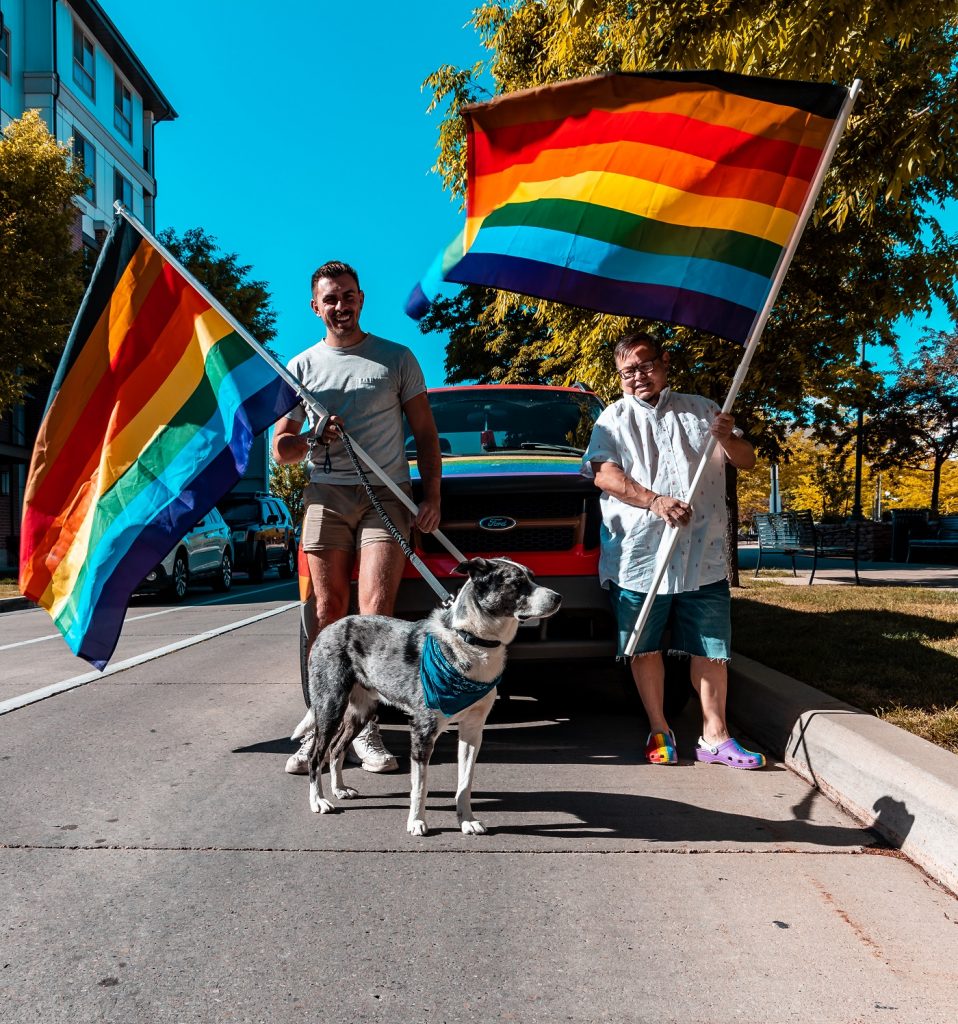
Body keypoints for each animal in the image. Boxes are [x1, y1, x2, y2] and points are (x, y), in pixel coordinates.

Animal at [292, 557, 560, 835]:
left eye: (533, 578)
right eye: (516, 583)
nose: (557, 598)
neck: (472, 641)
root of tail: (329, 628)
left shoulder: (472, 731)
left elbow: (465, 782)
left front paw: (466, 820)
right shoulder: (422, 732)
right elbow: (420, 787)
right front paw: (417, 821)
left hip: (362, 711)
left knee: (336, 749)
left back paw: (339, 789)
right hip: (330, 706)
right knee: (316, 755)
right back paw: (318, 800)